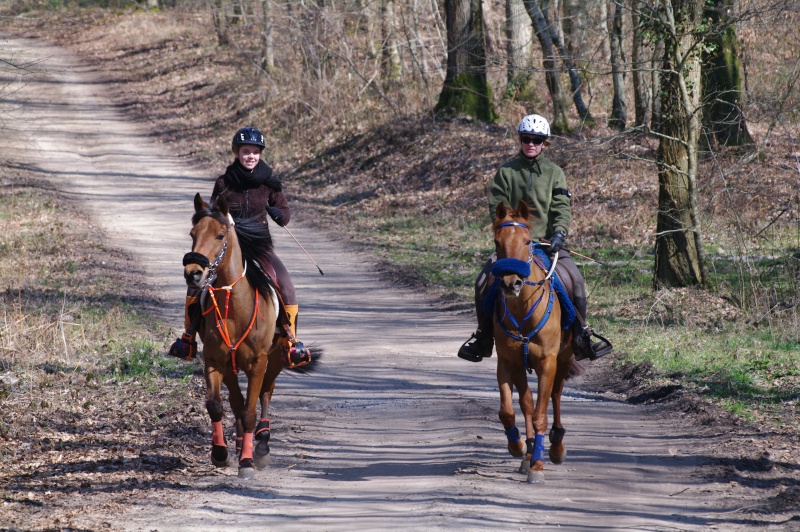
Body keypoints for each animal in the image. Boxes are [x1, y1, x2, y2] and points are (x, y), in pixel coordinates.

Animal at [186, 193, 314, 480]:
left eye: (220, 235)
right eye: (192, 234)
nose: (193, 273)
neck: (235, 307)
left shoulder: (259, 363)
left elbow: (250, 413)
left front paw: (246, 462)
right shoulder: (215, 360)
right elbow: (218, 405)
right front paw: (220, 453)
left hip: (275, 359)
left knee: (265, 395)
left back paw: (262, 445)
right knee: (237, 401)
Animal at [488, 200, 580, 482]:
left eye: (528, 241)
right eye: (497, 241)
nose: (511, 283)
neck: (522, 309)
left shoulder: (547, 362)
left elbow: (541, 412)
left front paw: (538, 465)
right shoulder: (509, 362)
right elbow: (510, 411)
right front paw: (518, 447)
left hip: (564, 358)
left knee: (556, 395)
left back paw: (556, 446)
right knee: (526, 403)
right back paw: (528, 453)